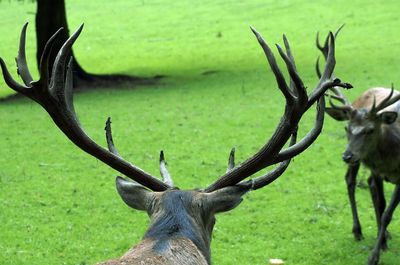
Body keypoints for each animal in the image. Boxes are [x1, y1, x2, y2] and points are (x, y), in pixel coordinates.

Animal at [318, 27, 400, 262]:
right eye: (347, 128)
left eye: (370, 129)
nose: (347, 156)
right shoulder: (377, 170)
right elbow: (382, 208)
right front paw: (377, 252)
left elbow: (387, 212)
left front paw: (379, 248)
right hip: (362, 165)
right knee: (351, 180)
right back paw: (359, 231)